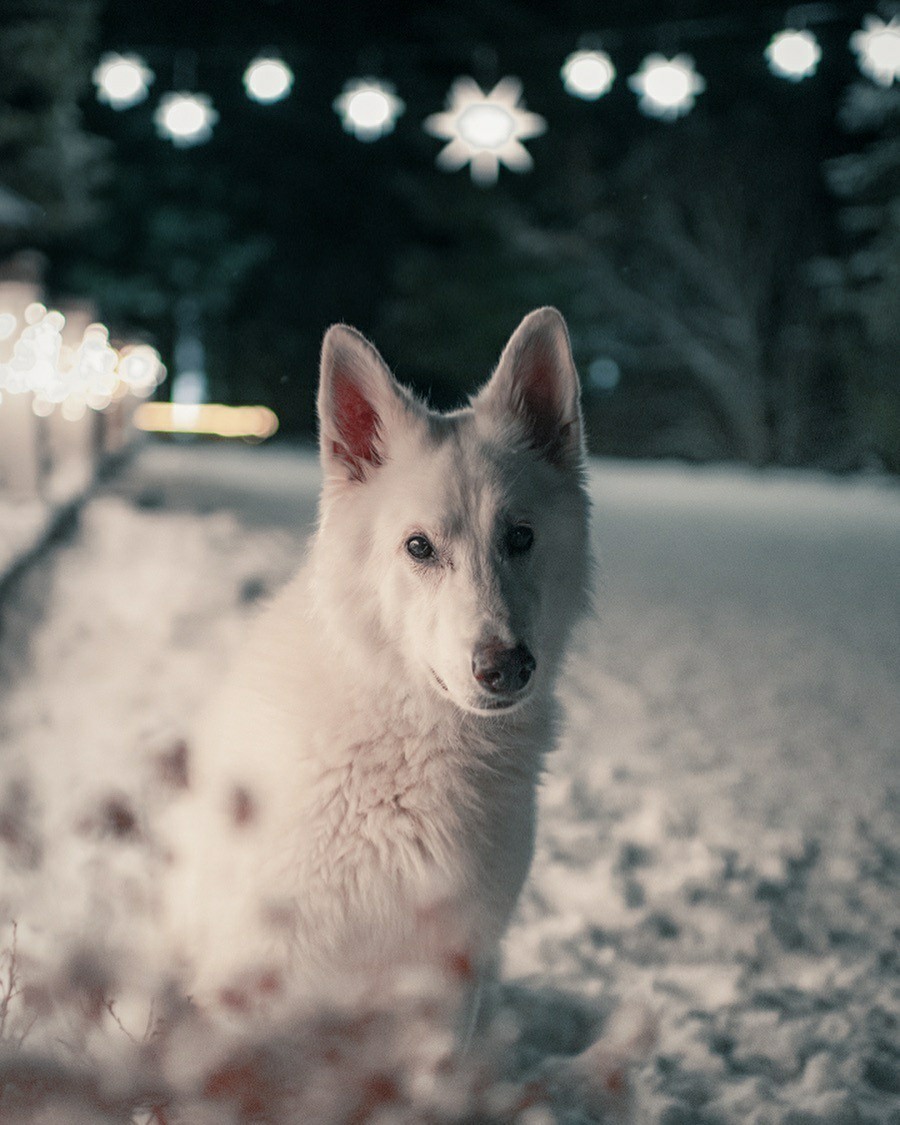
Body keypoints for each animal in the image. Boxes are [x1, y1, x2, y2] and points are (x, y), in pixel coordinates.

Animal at [163, 306, 589, 1012]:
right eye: (419, 547)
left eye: (520, 537)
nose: (506, 667)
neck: (411, 748)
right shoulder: (256, 968)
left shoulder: (449, 978)